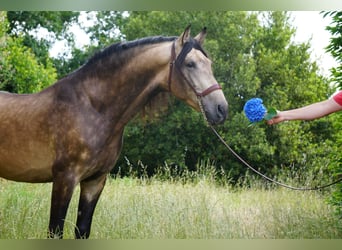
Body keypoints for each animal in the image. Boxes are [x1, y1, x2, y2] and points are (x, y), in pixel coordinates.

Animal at [0, 25, 230, 238]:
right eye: (190, 64)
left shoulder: (95, 181)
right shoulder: (64, 179)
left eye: (209, 64)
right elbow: (55, 231)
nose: (221, 109)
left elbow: (82, 230)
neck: (93, 109)